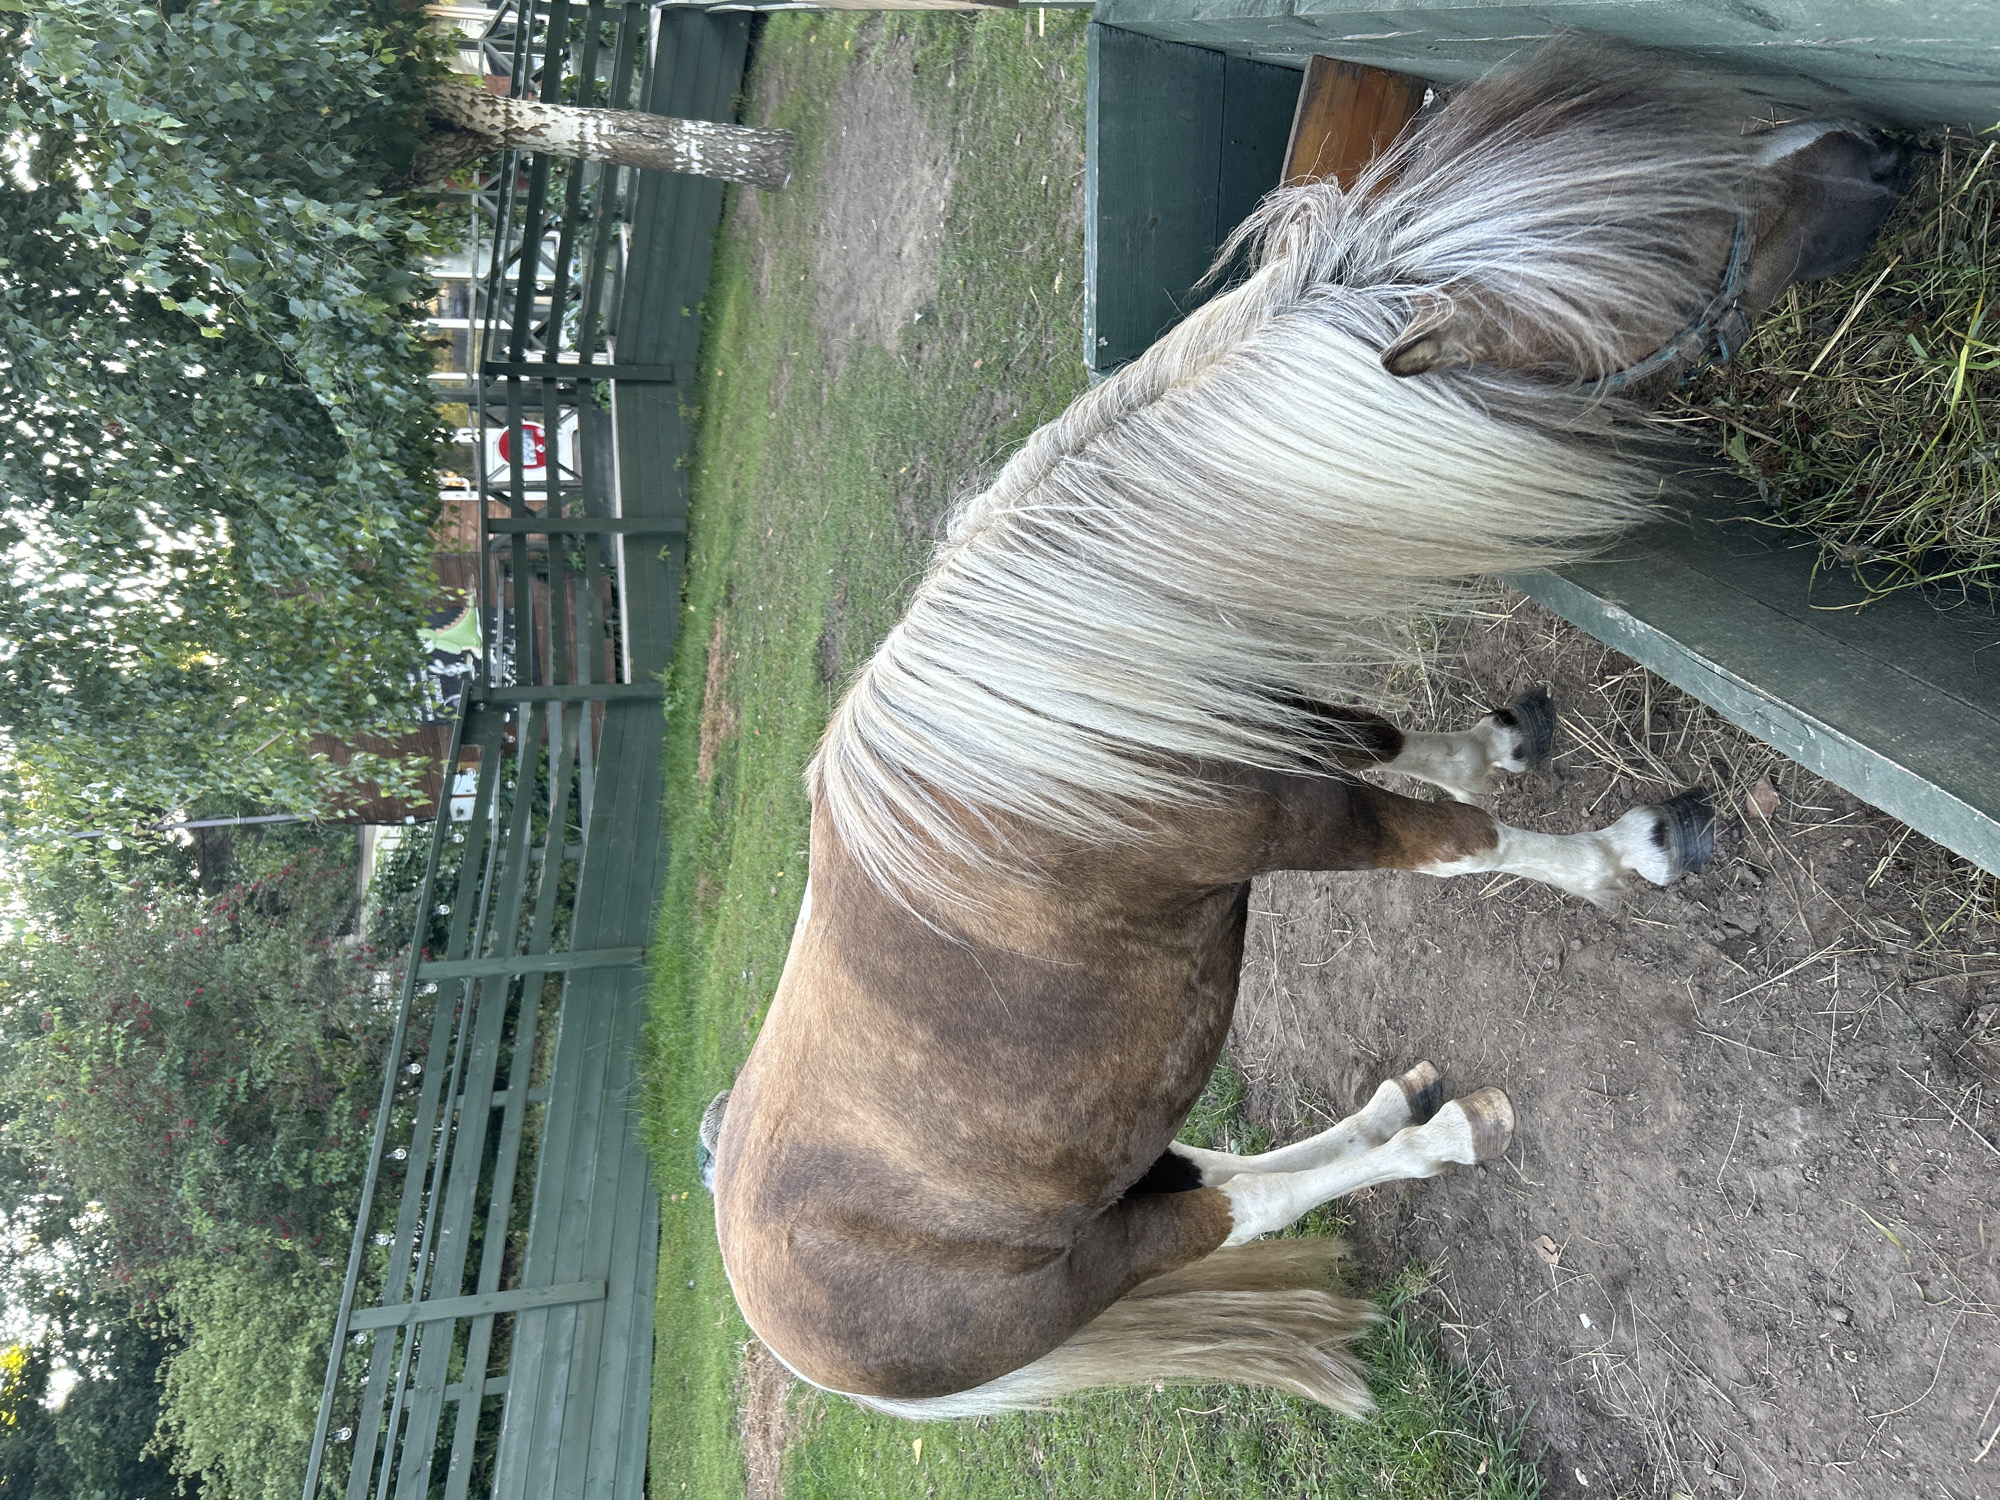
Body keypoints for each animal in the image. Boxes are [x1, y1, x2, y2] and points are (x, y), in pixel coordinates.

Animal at [702, 33, 1908, 1419]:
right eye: (1667, 259)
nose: (1883, 153)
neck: (1074, 694)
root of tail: (804, 1344)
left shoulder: (1266, 712)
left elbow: (1378, 737)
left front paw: (1498, 744)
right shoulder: (1306, 825)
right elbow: (1463, 844)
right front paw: (1624, 854)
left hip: (1126, 1169)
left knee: (1223, 1169)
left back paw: (1391, 1107)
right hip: (1097, 1258)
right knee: (1245, 1210)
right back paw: (1439, 1138)